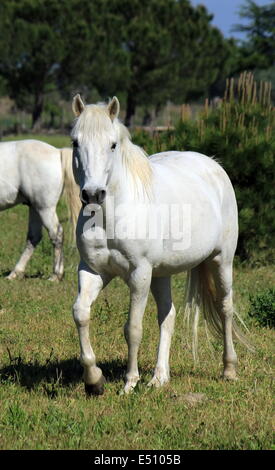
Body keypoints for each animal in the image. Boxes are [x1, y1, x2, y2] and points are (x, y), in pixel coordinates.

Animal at [0, 139, 81, 280]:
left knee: (56, 234)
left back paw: (56, 275)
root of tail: (57, 152)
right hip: (35, 208)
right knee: (34, 237)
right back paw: (15, 273)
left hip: (45, 209)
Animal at [70, 95, 246, 396]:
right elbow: (81, 313)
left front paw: (129, 383)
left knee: (225, 308)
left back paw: (229, 370)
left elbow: (133, 328)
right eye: (75, 143)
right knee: (168, 315)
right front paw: (94, 380)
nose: (93, 194)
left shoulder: (139, 274)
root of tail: (213, 165)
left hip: (221, 261)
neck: (110, 216)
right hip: (161, 274)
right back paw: (159, 377)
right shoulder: (93, 271)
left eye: (112, 145)